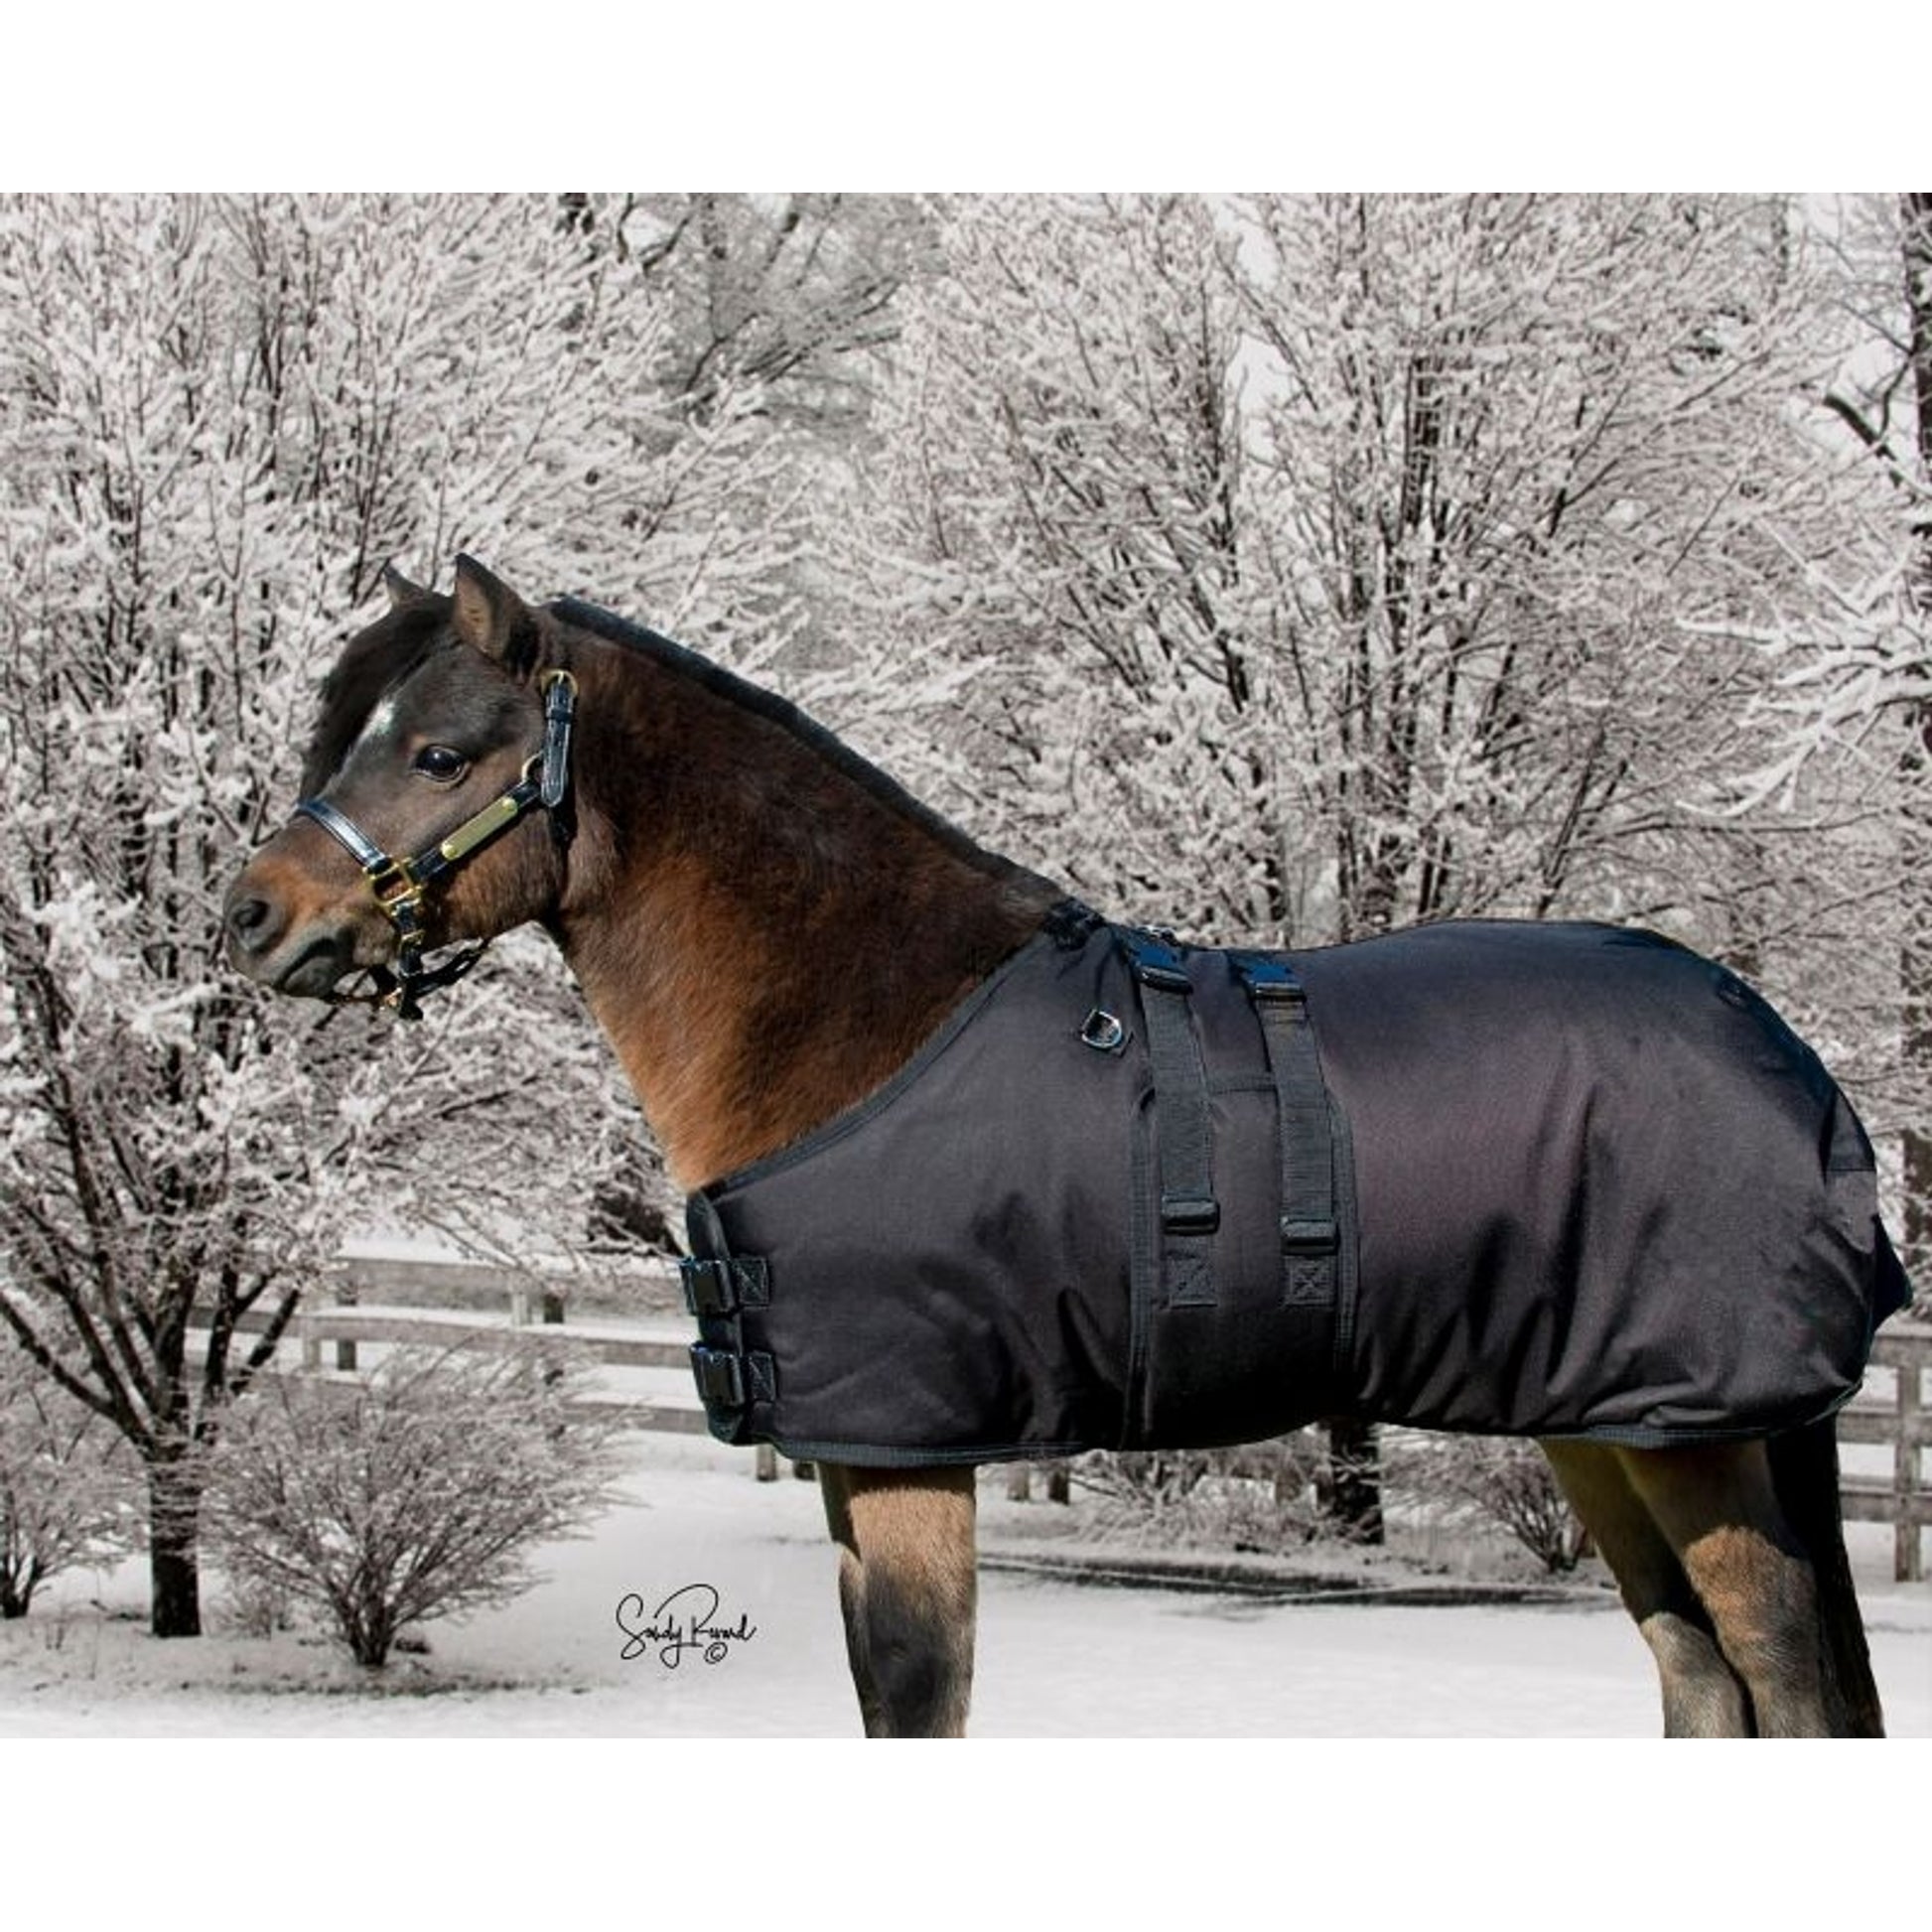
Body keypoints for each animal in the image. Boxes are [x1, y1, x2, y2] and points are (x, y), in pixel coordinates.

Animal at [223, 556, 1909, 1737]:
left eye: (443, 754)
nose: (255, 914)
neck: (862, 1015)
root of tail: (1779, 1049)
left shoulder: (910, 1454)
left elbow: (922, 1699)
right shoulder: (860, 1456)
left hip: (1694, 1437)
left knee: (1776, 1679)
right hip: (1606, 1426)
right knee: (1701, 1681)